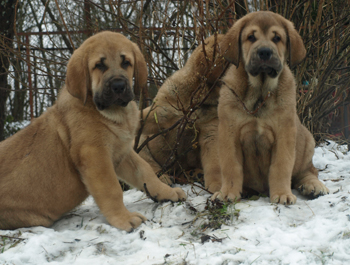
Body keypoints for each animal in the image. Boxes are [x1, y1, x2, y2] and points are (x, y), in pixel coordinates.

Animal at [0, 31, 186, 231]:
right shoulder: (95, 156)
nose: (119, 86)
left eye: (126, 62)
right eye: (99, 66)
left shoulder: (122, 151)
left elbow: (145, 172)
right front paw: (123, 218)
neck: (111, 113)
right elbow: (112, 189)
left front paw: (166, 192)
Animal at [212, 11, 330, 203]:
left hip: (307, 140)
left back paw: (314, 186)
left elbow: (281, 166)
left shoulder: (284, 133)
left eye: (277, 38)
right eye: (251, 37)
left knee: (308, 172)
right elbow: (231, 166)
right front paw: (227, 192)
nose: (265, 52)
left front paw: (282, 194)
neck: (260, 91)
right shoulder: (229, 133)